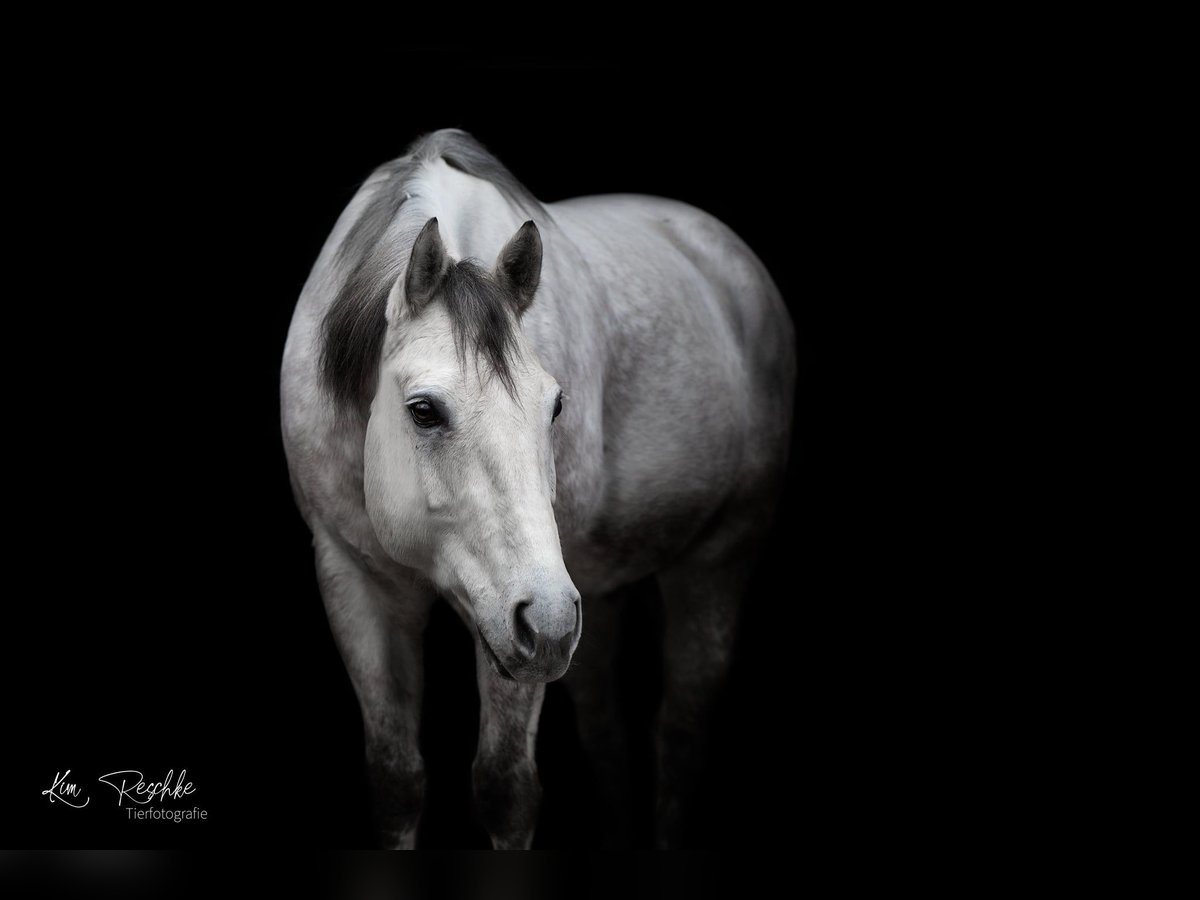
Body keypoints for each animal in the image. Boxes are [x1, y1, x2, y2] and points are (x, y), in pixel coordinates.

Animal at [276, 130, 792, 849]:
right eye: (423, 411)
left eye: (555, 407)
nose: (546, 624)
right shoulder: (353, 578)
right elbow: (397, 780)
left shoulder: (514, 630)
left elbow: (506, 789)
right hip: (592, 600)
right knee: (607, 735)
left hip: (712, 566)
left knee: (680, 736)